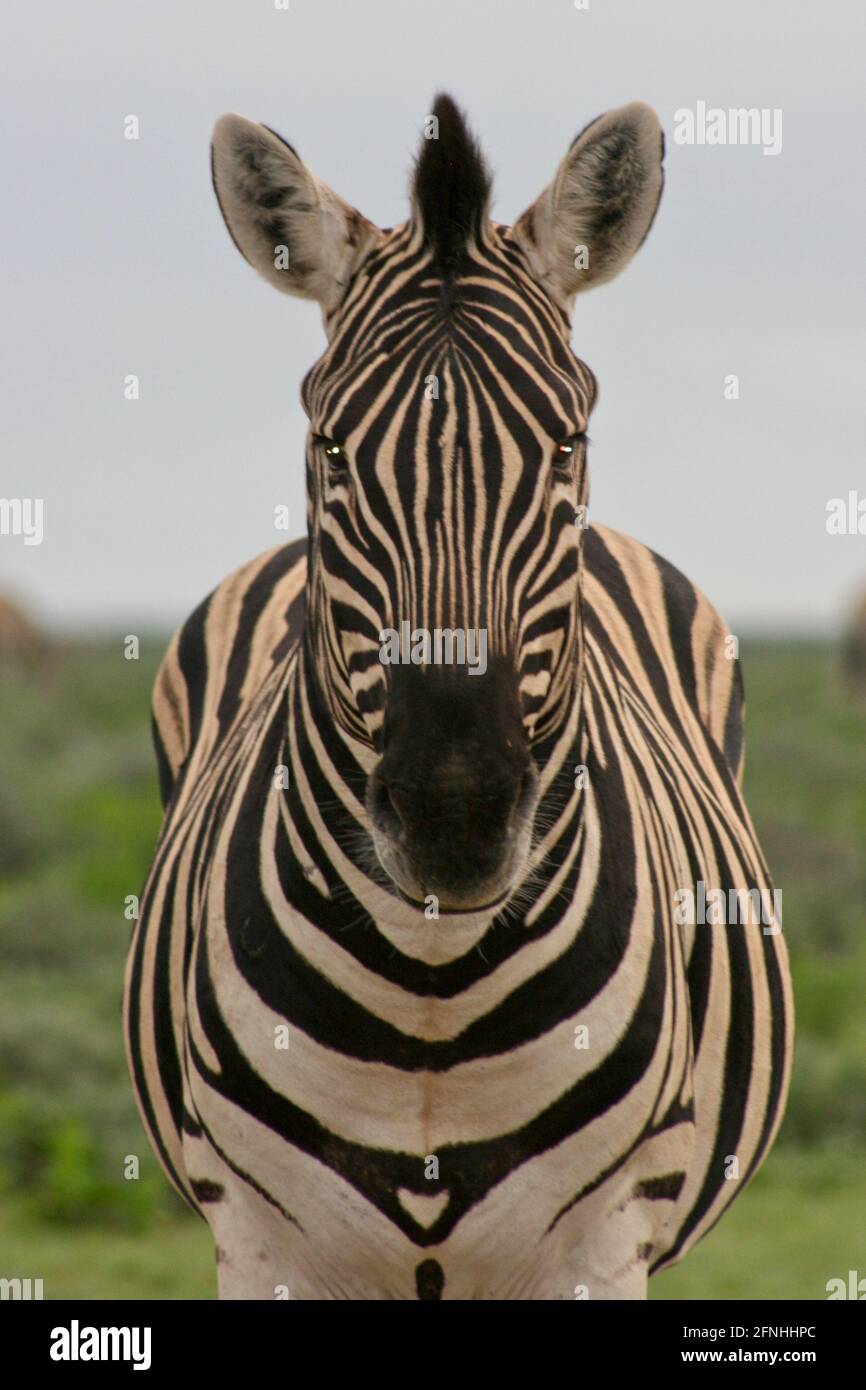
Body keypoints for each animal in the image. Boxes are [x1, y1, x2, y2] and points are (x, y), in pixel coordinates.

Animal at [124, 94, 793, 1300]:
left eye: (567, 445)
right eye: (331, 450)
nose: (454, 814)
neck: (428, 985)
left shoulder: (601, 1240)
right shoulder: (261, 1240)